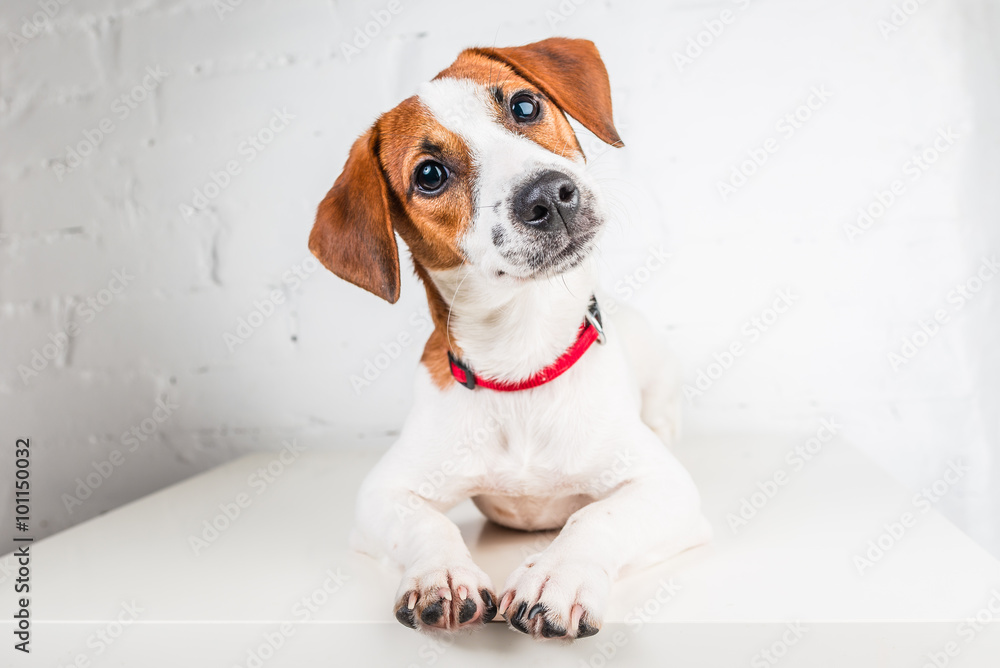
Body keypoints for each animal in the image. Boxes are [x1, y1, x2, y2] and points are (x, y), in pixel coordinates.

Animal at [308, 37, 708, 640]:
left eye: (524, 105)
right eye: (430, 174)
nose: (550, 195)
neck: (524, 359)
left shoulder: (665, 487)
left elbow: (596, 514)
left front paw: (558, 575)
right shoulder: (382, 493)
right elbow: (428, 525)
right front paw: (443, 575)